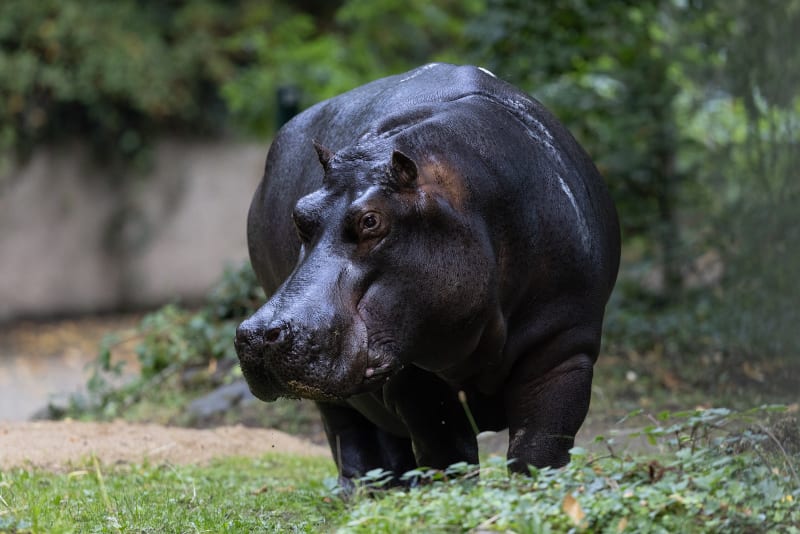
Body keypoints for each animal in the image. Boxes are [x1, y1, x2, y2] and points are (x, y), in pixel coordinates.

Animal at [235, 63, 620, 485]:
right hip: (339, 402)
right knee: (349, 432)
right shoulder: (412, 378)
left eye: (371, 220)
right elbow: (448, 453)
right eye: (300, 214)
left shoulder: (564, 349)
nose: (257, 335)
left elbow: (539, 447)